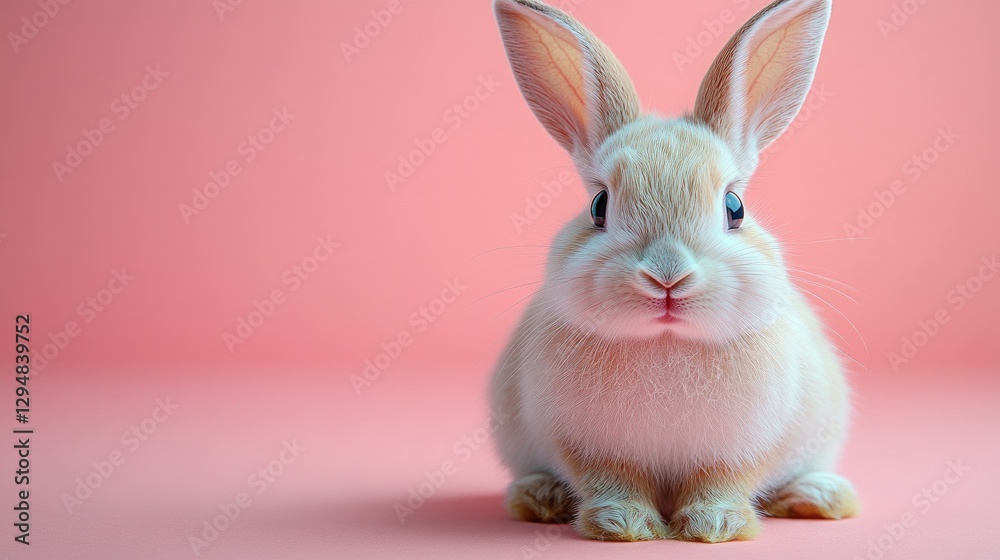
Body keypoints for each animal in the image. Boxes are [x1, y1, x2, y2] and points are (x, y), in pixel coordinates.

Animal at [489, 0, 858, 543]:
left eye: (734, 207)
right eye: (599, 206)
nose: (667, 277)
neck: (667, 341)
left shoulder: (742, 448)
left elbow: (722, 481)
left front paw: (715, 526)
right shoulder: (588, 446)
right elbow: (612, 482)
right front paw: (622, 525)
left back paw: (819, 497)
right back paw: (540, 497)